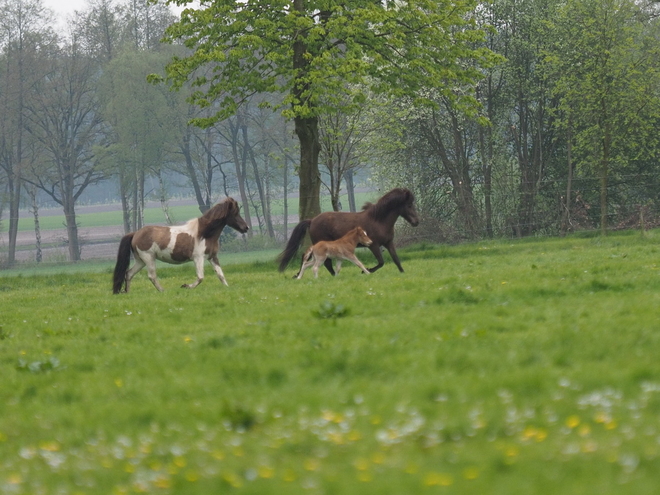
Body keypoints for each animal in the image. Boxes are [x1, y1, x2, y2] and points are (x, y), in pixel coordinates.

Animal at [112, 199, 249, 294]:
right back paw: (162, 291)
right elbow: (200, 277)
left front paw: (227, 288)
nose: (246, 228)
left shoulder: (212, 257)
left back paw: (128, 292)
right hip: (148, 258)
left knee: (129, 273)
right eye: (235, 214)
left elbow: (220, 275)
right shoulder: (198, 258)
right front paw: (185, 286)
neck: (204, 234)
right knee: (151, 276)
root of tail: (135, 234)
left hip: (140, 260)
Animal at [278, 188, 420, 278]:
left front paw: (402, 273)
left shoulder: (389, 243)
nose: (416, 222)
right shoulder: (373, 245)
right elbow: (381, 262)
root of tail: (312, 220)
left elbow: (396, 260)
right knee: (322, 262)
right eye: (409, 205)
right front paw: (366, 271)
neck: (379, 220)